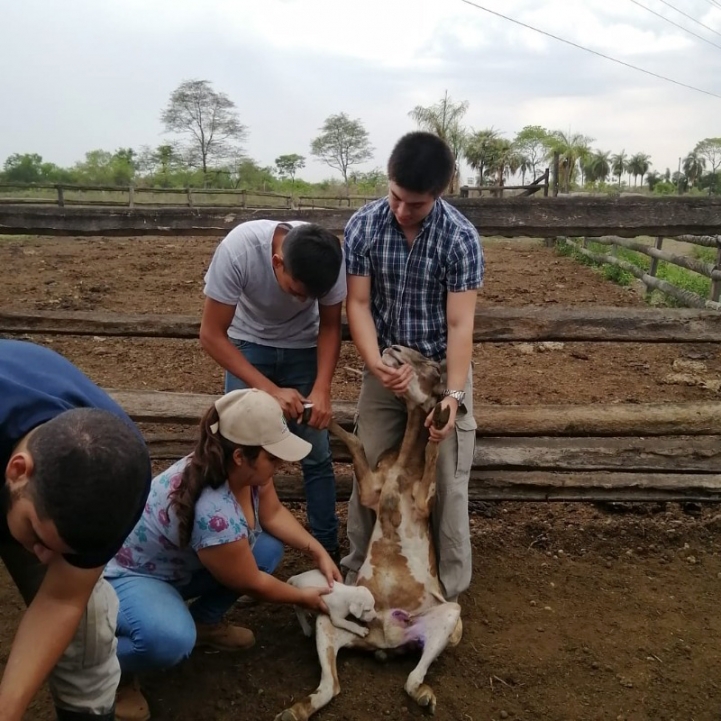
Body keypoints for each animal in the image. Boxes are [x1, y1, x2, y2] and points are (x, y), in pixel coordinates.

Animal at [276, 344, 462, 720]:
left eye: (433, 366)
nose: (394, 347)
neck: (402, 468)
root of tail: (385, 640)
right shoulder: (370, 492)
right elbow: (356, 442)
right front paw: (314, 413)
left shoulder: (424, 500)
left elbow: (433, 452)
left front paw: (439, 419)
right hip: (329, 622)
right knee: (331, 686)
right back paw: (294, 711)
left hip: (448, 614)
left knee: (411, 678)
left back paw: (425, 695)